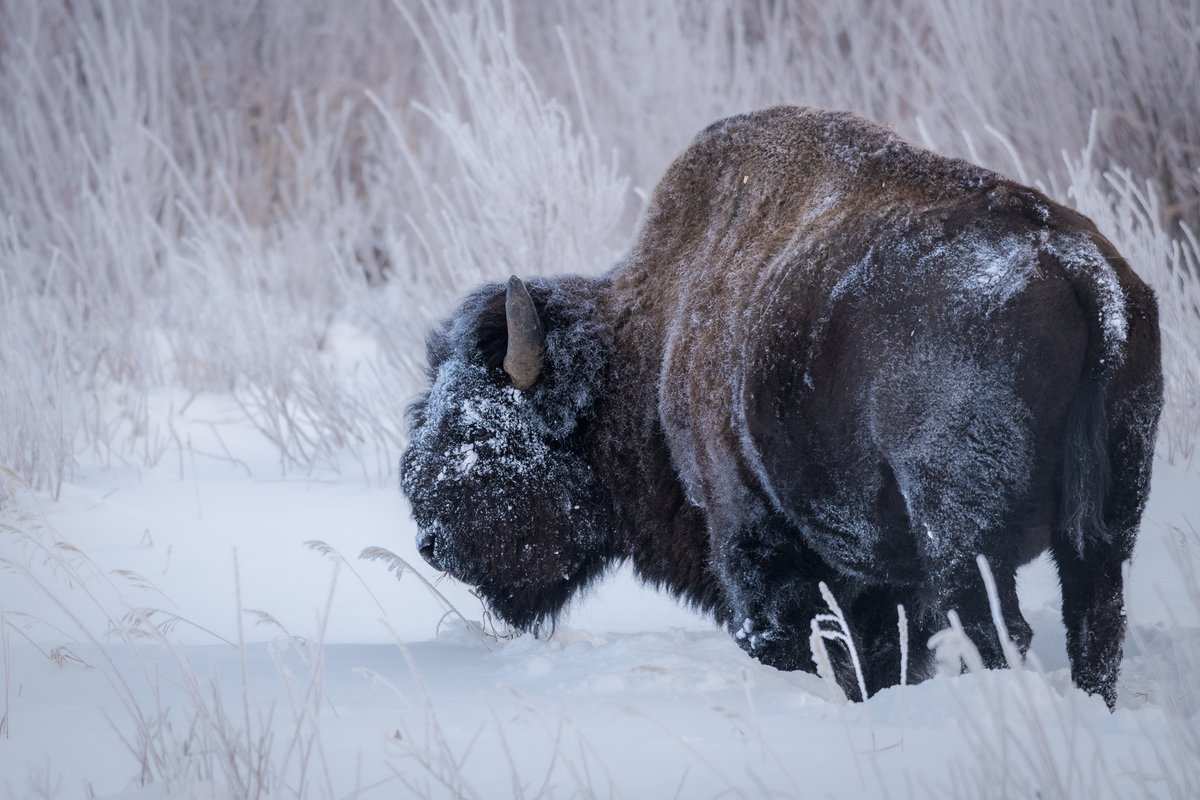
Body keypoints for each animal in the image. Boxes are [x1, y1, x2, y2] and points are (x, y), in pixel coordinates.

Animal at [400, 107, 1163, 708]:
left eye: (485, 425)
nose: (431, 540)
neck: (654, 337)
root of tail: (1079, 266)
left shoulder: (758, 542)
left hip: (964, 537)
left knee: (996, 630)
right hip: (1111, 525)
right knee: (1095, 625)